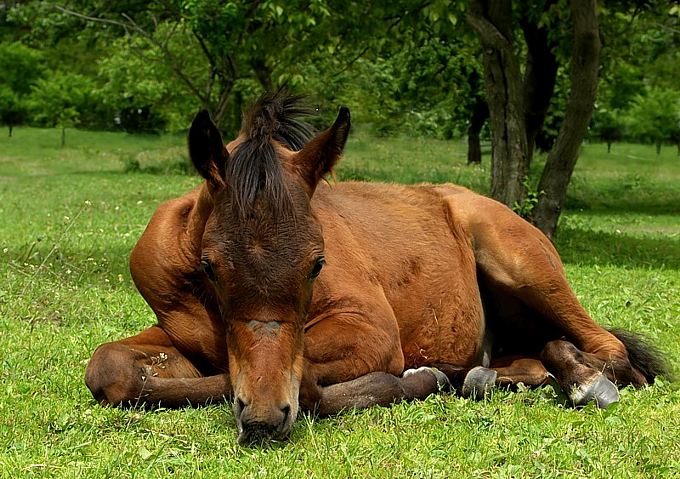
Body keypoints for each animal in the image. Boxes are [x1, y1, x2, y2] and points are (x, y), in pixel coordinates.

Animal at [83, 91, 664, 446]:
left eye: (318, 263)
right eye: (210, 266)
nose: (265, 420)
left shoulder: (373, 331)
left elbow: (307, 378)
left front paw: (412, 379)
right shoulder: (181, 336)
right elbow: (110, 369)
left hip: (520, 261)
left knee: (610, 351)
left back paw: (583, 381)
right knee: (536, 357)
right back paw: (484, 376)